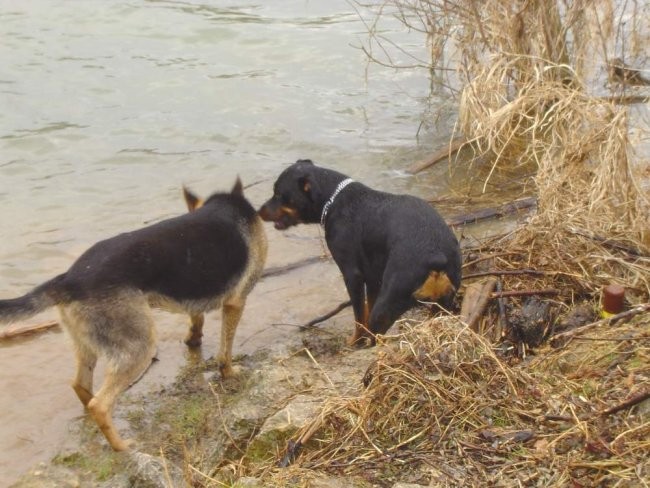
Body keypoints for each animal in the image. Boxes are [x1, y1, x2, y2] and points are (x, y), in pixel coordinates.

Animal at [0, 178, 266, 450]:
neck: (226, 205)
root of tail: (68, 280)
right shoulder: (236, 302)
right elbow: (226, 350)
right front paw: (230, 373)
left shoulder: (194, 298)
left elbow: (197, 320)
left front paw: (194, 341)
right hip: (140, 348)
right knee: (100, 404)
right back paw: (122, 447)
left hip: (86, 346)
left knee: (81, 386)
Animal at [258, 159, 460, 344]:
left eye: (278, 194)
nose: (259, 210)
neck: (334, 200)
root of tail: (436, 256)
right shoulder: (372, 278)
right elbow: (367, 307)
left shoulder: (352, 275)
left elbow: (359, 316)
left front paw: (354, 341)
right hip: (443, 303)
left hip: (389, 299)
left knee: (377, 328)